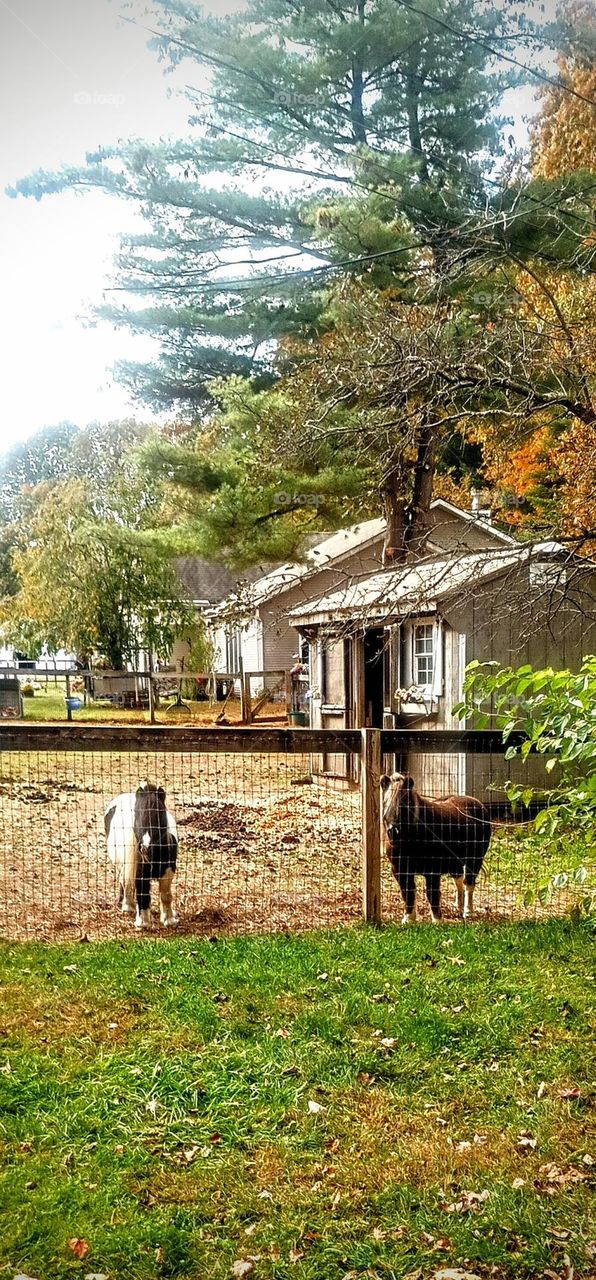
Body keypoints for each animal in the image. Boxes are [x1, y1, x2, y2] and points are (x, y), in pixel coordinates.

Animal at [103, 778, 177, 931]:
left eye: (160, 815)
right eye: (137, 816)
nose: (146, 848)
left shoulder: (168, 872)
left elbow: (166, 895)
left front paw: (169, 920)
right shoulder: (139, 873)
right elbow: (143, 894)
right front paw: (143, 922)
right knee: (124, 882)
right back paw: (128, 906)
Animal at [378, 768, 491, 921]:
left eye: (405, 802)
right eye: (385, 802)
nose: (393, 832)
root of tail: (478, 804)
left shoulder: (433, 870)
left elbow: (432, 893)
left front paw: (437, 920)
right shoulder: (399, 870)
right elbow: (408, 892)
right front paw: (409, 918)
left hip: (475, 860)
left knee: (469, 883)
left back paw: (468, 911)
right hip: (455, 862)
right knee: (459, 880)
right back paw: (459, 906)